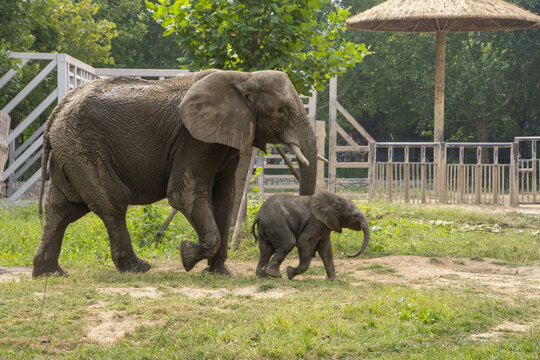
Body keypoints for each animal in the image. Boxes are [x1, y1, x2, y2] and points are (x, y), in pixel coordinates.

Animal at [31, 71, 318, 278]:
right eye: (281, 110)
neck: (244, 77)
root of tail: (55, 112)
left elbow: (224, 199)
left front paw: (219, 273)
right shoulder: (193, 141)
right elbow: (184, 195)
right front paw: (186, 255)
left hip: (70, 151)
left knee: (62, 208)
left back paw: (50, 273)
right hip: (82, 147)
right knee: (112, 203)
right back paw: (138, 268)